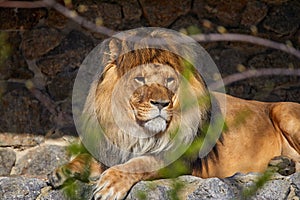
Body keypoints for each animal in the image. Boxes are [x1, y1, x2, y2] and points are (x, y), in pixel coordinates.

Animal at [48, 28, 298, 199]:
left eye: (169, 80)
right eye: (140, 79)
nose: (161, 103)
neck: (133, 130)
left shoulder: (179, 160)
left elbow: (139, 163)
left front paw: (110, 185)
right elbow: (86, 159)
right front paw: (62, 171)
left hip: (283, 110)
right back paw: (281, 164)